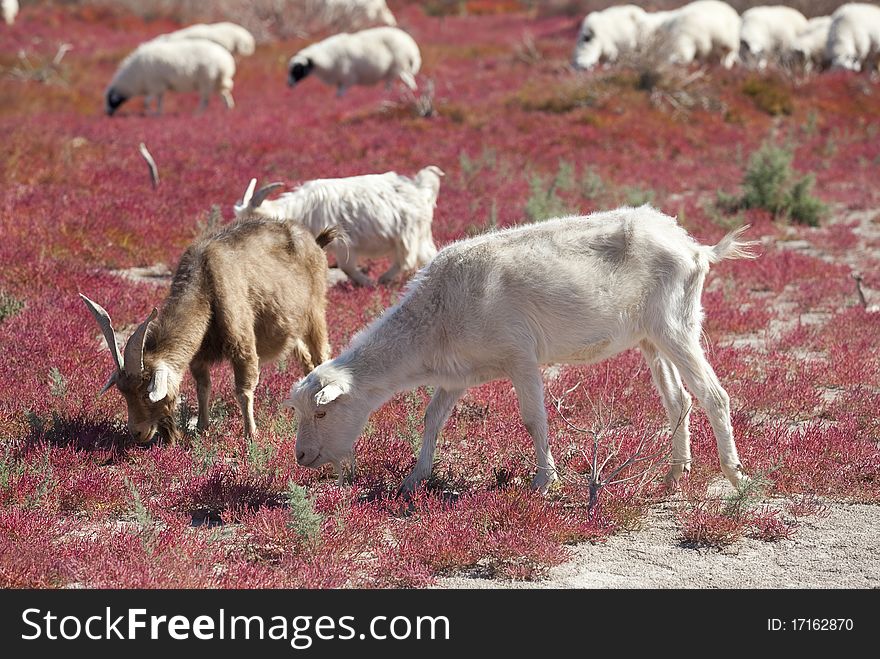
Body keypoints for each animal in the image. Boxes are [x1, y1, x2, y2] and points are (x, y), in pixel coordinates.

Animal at [81, 219, 336, 446]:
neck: (205, 279)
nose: (137, 433)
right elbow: (203, 387)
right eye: (123, 394)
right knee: (305, 358)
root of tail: (316, 242)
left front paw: (250, 435)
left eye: (146, 393)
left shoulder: (242, 342)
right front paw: (202, 428)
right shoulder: (199, 355)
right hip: (291, 327)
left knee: (321, 355)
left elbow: (243, 390)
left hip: (315, 311)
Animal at [105, 38, 235, 114]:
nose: (107, 114)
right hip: (216, 81)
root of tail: (225, 59)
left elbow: (146, 102)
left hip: (207, 80)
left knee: (205, 100)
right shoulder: (159, 86)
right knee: (224, 94)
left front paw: (151, 113)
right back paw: (228, 108)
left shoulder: (155, 85)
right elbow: (159, 101)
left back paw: (197, 113)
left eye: (110, 100)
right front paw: (159, 113)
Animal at [234, 166, 444, 284]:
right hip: (420, 235)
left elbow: (347, 267)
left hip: (407, 234)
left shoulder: (344, 243)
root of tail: (420, 188)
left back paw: (384, 279)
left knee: (405, 260)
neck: (302, 210)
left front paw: (368, 282)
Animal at [288, 25, 422, 94]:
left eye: (297, 69)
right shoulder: (341, 80)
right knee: (402, 81)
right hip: (397, 69)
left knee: (405, 81)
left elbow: (340, 96)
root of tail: (411, 45)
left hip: (398, 66)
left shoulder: (347, 78)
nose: (289, 84)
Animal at [288, 208, 756, 496]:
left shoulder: (520, 358)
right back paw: (675, 475)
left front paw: (543, 482)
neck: (437, 316)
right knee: (678, 401)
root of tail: (696, 248)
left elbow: (533, 419)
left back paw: (736, 478)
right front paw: (413, 479)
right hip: (651, 338)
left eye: (323, 412)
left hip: (676, 324)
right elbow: (432, 418)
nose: (303, 457)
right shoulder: (459, 375)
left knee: (714, 396)